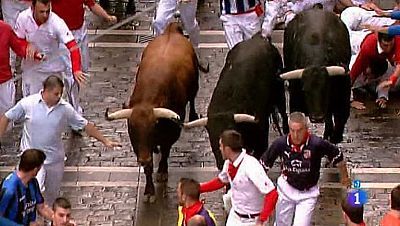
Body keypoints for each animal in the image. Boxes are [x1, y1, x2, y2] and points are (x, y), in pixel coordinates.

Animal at [104, 22, 208, 202]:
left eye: (153, 127)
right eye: (132, 129)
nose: (143, 159)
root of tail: (172, 30)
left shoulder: (172, 132)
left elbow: (165, 151)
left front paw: (162, 172)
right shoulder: (139, 147)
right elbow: (148, 166)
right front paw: (149, 190)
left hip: (195, 85)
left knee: (193, 98)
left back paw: (194, 115)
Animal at [184, 32, 288, 170]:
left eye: (232, 131)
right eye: (212, 136)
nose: (224, 161)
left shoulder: (261, 138)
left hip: (279, 93)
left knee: (284, 113)